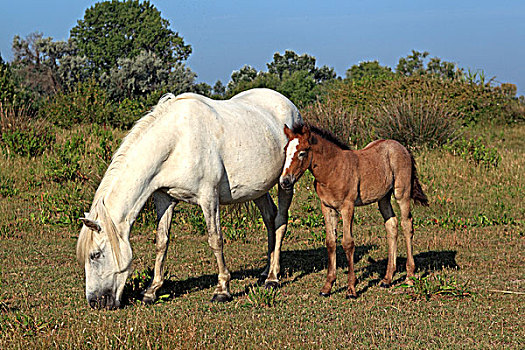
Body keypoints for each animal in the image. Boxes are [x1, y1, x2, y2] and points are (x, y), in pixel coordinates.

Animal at [75, 88, 300, 308]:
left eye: (95, 255)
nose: (94, 302)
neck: (177, 142)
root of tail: (289, 105)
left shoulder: (209, 197)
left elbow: (215, 240)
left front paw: (222, 290)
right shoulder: (164, 198)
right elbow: (161, 241)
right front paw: (151, 291)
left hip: (285, 182)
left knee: (280, 221)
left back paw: (273, 277)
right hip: (258, 189)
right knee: (270, 219)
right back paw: (265, 272)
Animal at [280, 123, 428, 298]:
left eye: (302, 152)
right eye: (285, 151)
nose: (284, 181)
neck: (333, 169)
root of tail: (402, 147)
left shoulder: (347, 206)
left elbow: (347, 243)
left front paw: (351, 288)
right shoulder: (327, 207)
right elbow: (331, 242)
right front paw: (327, 287)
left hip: (402, 193)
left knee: (407, 225)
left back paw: (410, 277)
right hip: (383, 198)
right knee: (391, 225)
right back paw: (387, 278)